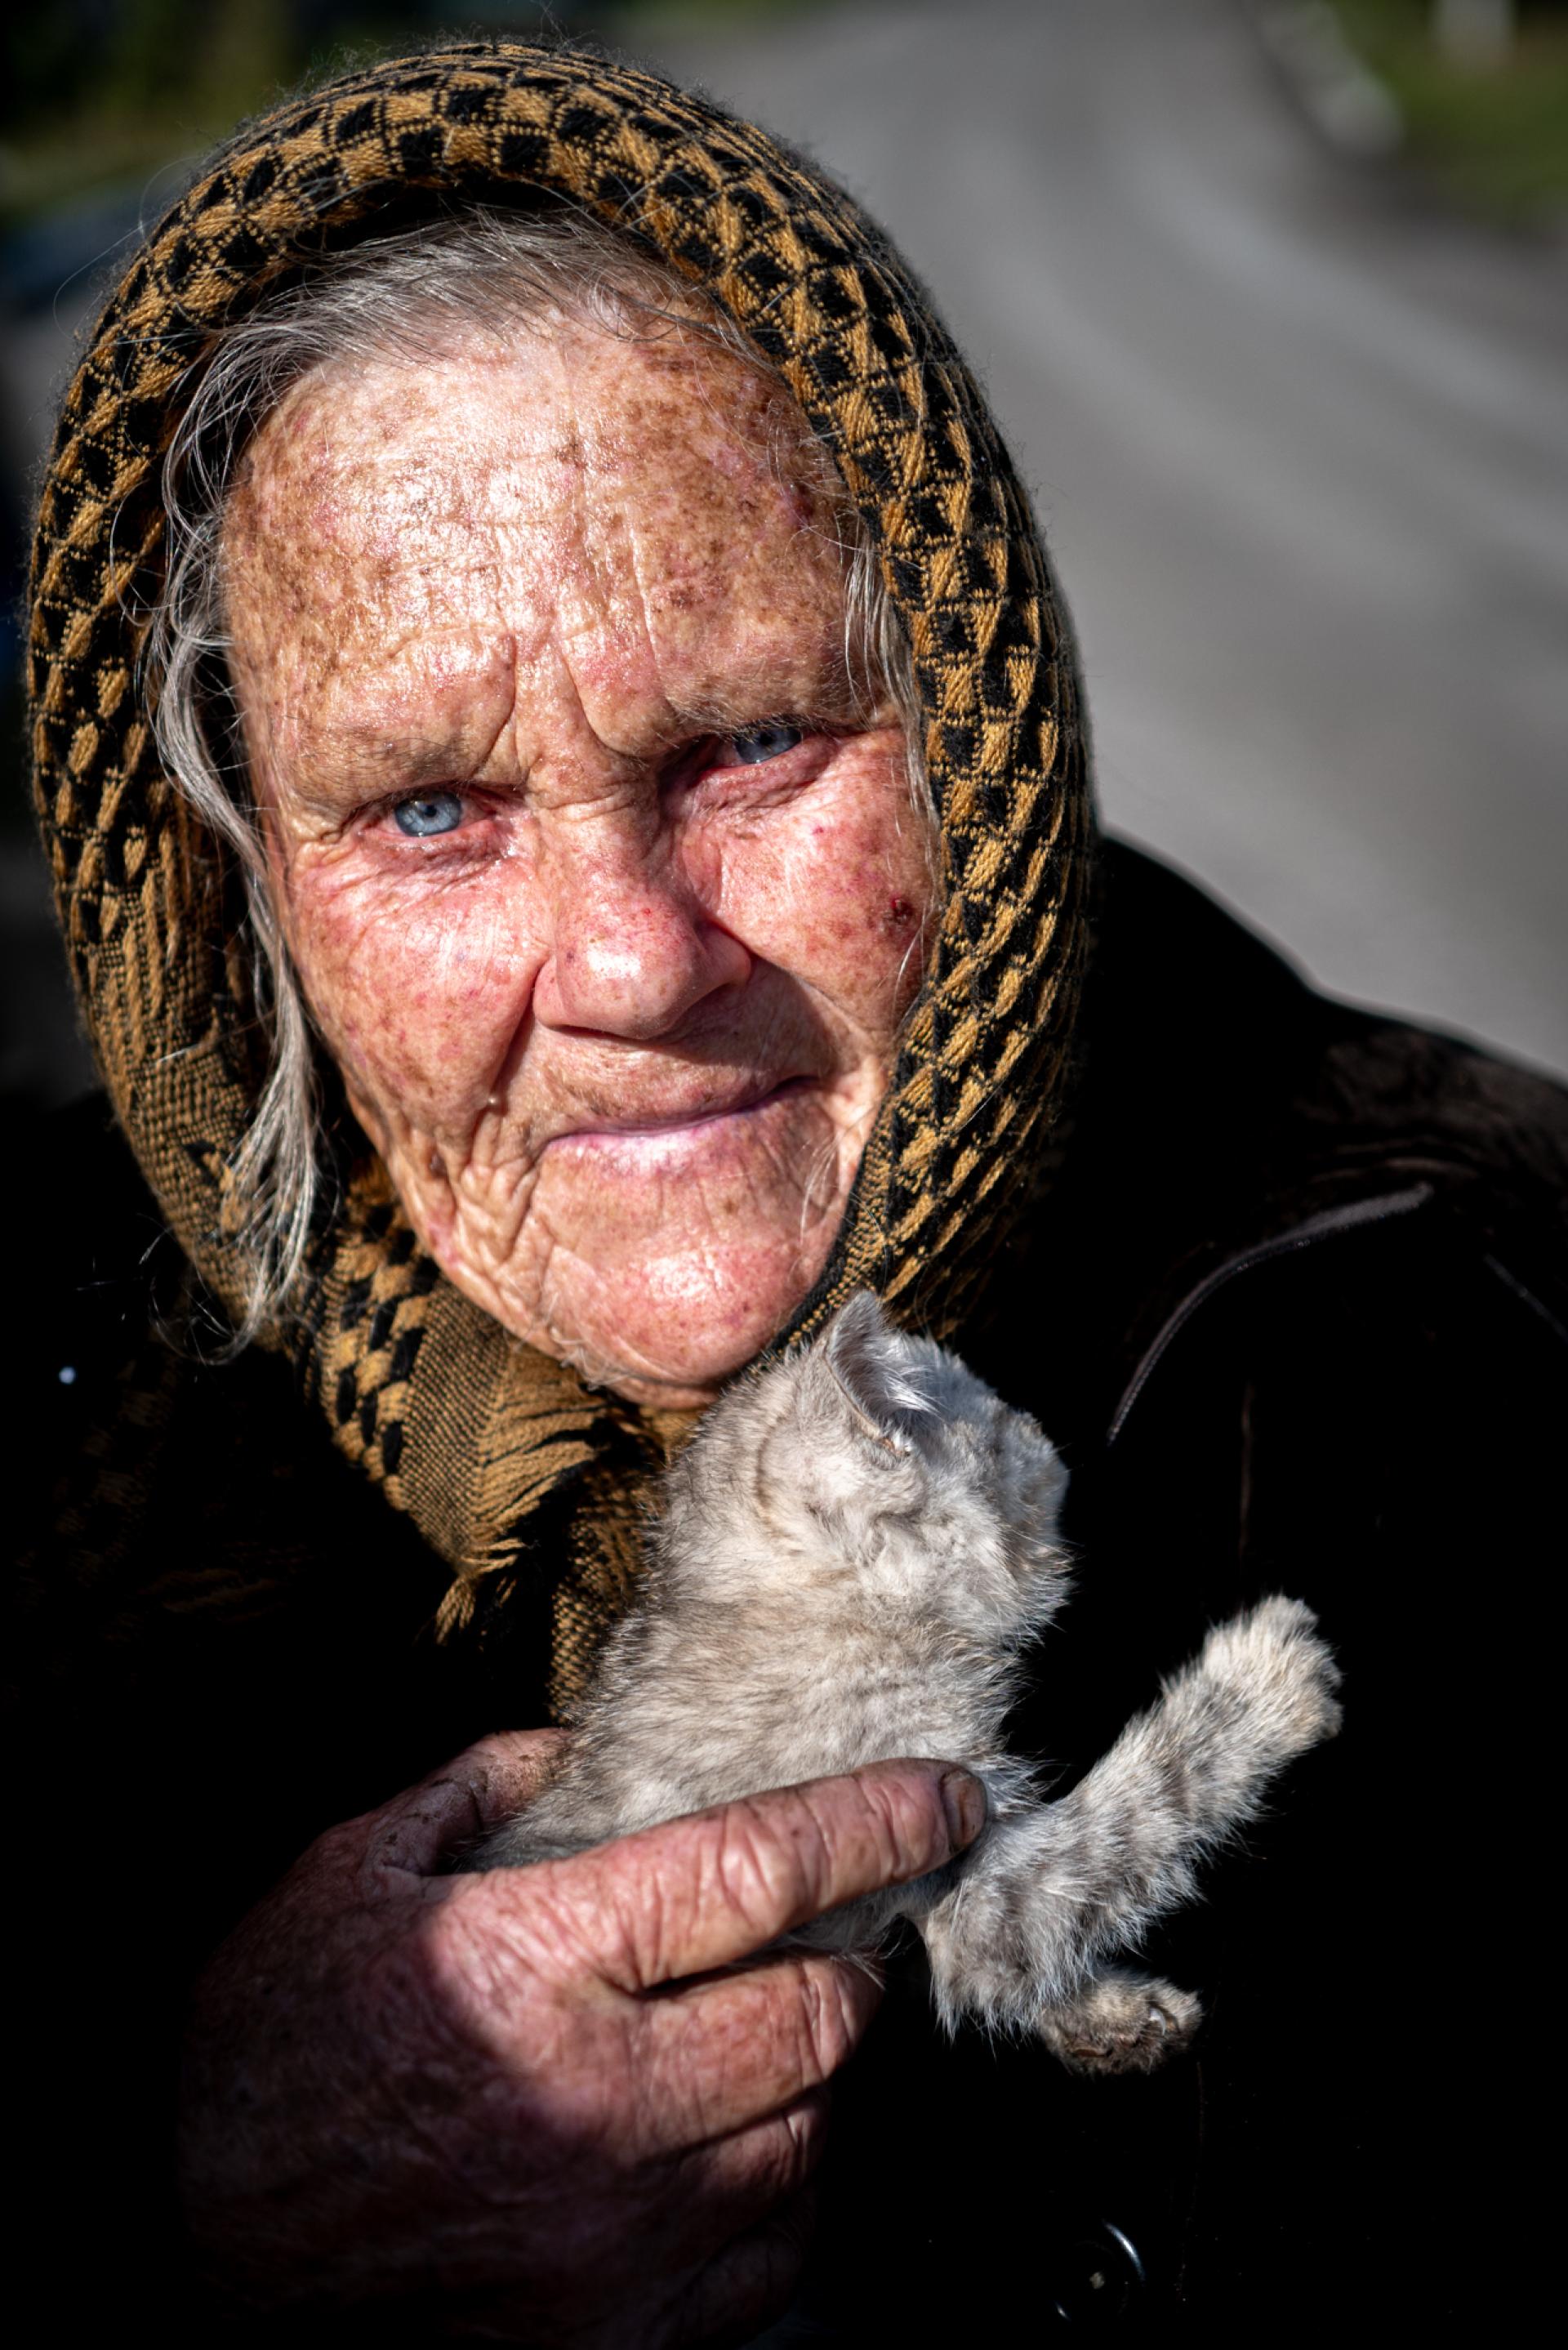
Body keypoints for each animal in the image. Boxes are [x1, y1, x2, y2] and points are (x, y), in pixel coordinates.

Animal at [472, 1287, 1344, 2077]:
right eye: (1001, 1426)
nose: (1040, 1425)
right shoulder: (979, 1882)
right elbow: (1131, 1815)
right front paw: (1266, 1681)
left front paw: (1112, 2014)